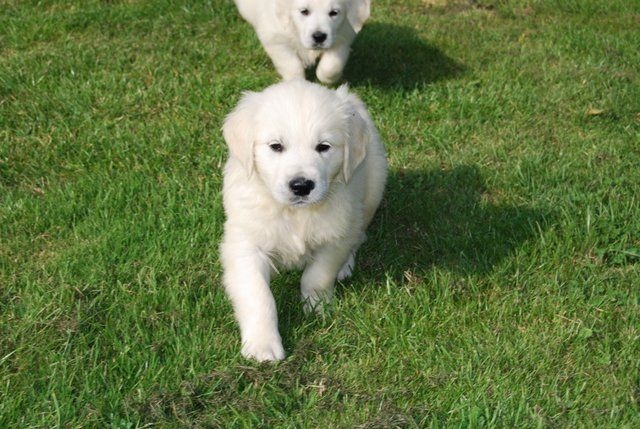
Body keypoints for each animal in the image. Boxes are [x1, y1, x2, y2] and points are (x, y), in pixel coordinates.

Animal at [222, 78, 388, 360]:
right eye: (276, 146)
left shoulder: (334, 236)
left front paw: (318, 308)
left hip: (372, 189)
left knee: (359, 233)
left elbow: (317, 276)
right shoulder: (245, 244)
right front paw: (262, 346)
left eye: (323, 147)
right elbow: (258, 295)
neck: (294, 213)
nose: (301, 186)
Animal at [234, 0, 370, 84]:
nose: (319, 37)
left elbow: (331, 66)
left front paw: (327, 79)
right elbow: (292, 65)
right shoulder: (276, 40)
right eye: (304, 11)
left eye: (334, 13)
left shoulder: (343, 38)